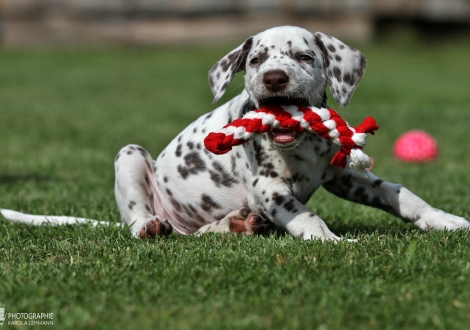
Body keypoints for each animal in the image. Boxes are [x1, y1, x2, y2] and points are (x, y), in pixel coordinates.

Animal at [1, 25, 468, 237]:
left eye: (305, 57)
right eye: (257, 60)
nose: (275, 78)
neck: (301, 143)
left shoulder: (344, 175)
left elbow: (400, 193)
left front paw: (444, 219)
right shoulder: (268, 188)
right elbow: (308, 217)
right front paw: (333, 241)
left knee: (206, 233)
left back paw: (240, 224)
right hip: (130, 156)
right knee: (142, 221)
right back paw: (151, 226)